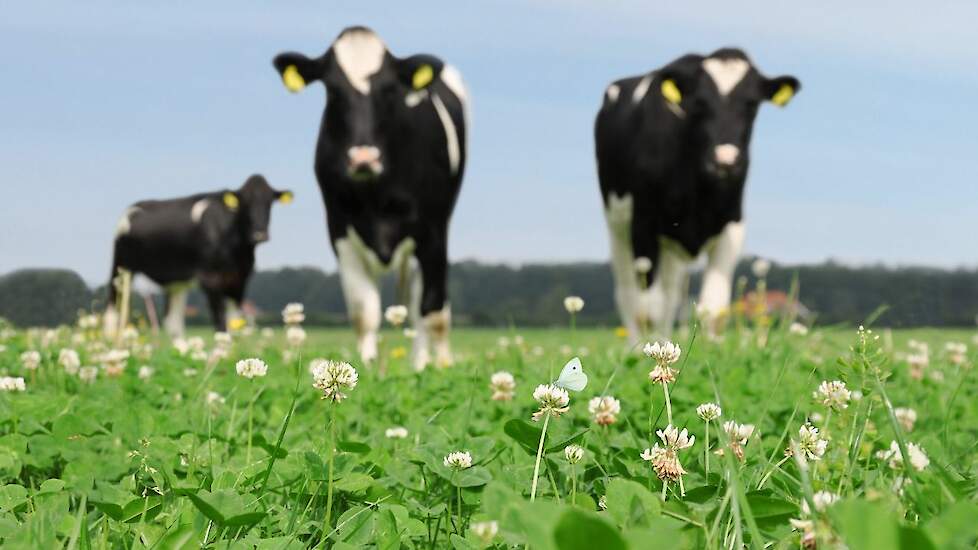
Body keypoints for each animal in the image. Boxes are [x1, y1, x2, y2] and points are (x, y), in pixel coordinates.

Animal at [106, 175, 292, 336]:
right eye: (245, 204)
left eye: (269, 203)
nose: (260, 234)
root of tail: (132, 208)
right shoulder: (210, 279)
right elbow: (219, 321)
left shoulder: (240, 280)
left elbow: (234, 321)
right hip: (121, 268)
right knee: (113, 311)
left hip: (176, 281)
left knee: (173, 320)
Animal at [272, 25, 468, 370]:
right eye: (333, 91)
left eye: (389, 89)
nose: (363, 158)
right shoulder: (339, 229)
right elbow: (363, 312)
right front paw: (366, 366)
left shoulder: (433, 231)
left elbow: (432, 311)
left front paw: (435, 369)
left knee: (424, 307)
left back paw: (426, 361)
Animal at [596, 48, 800, 340]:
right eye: (700, 103)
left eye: (751, 104)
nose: (725, 160)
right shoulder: (643, 225)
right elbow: (647, 309)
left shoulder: (732, 224)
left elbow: (713, 310)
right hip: (619, 229)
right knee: (629, 297)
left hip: (670, 248)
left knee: (670, 297)